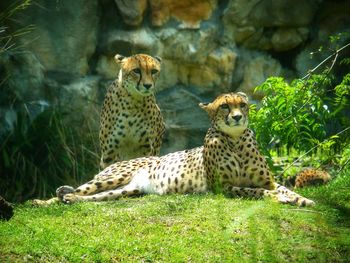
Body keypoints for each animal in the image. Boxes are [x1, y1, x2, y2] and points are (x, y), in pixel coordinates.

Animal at [34, 92, 314, 206]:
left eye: (242, 104)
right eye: (225, 106)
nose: (236, 117)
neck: (235, 140)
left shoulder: (267, 180)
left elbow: (283, 188)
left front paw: (304, 199)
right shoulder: (222, 187)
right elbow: (254, 191)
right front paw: (279, 198)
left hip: (127, 190)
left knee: (91, 198)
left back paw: (69, 199)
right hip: (113, 176)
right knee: (78, 190)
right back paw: (43, 201)